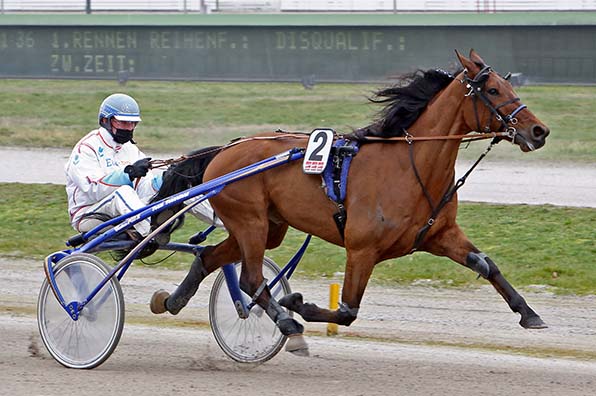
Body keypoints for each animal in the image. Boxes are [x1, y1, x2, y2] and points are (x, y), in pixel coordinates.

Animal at [149, 50, 548, 356]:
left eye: (511, 86)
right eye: (493, 90)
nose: (539, 131)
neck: (409, 166)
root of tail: (225, 149)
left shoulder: (440, 234)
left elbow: (486, 265)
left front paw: (529, 313)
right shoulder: (362, 248)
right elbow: (347, 310)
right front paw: (298, 305)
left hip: (268, 227)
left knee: (209, 257)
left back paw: (172, 301)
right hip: (251, 222)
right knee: (251, 279)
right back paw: (288, 324)